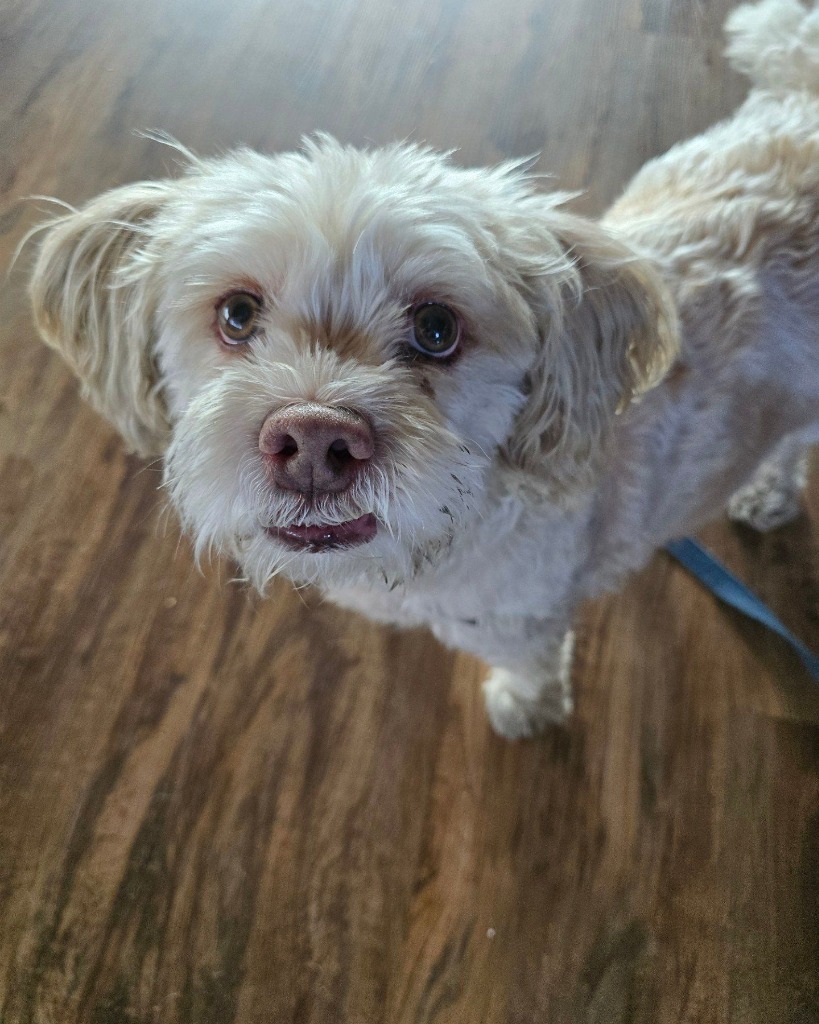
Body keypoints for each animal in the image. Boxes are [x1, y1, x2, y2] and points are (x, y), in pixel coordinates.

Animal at [27, 0, 818, 737]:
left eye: (438, 329)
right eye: (237, 314)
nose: (313, 442)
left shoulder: (525, 619)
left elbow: (532, 669)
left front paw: (524, 708)